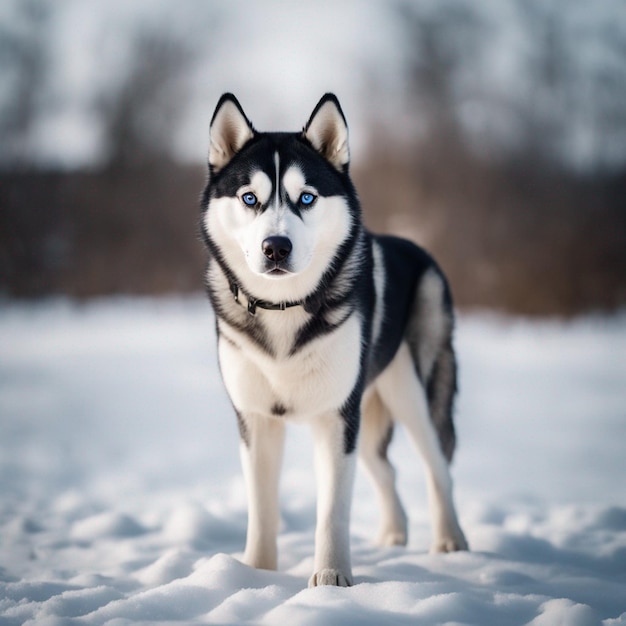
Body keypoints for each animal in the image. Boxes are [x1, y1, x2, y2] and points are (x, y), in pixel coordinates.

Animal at [200, 92, 464, 584]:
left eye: (306, 197)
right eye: (249, 198)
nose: (276, 247)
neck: (283, 308)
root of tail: (414, 246)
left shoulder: (337, 418)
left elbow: (333, 510)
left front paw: (332, 578)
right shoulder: (256, 419)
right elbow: (261, 508)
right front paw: (256, 574)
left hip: (410, 392)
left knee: (437, 464)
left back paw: (450, 541)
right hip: (369, 408)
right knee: (386, 468)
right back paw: (393, 535)